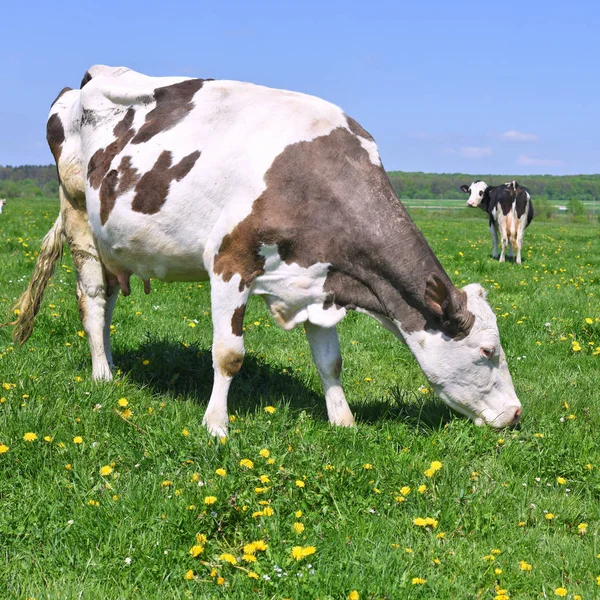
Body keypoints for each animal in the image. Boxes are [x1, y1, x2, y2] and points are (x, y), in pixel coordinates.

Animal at [3, 65, 520, 434]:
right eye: (488, 350)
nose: (516, 414)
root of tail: (87, 80)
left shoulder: (319, 279)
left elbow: (330, 360)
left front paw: (343, 421)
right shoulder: (230, 264)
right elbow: (228, 354)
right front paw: (216, 426)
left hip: (113, 242)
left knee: (109, 301)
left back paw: (111, 364)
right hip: (77, 215)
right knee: (92, 300)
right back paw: (102, 377)